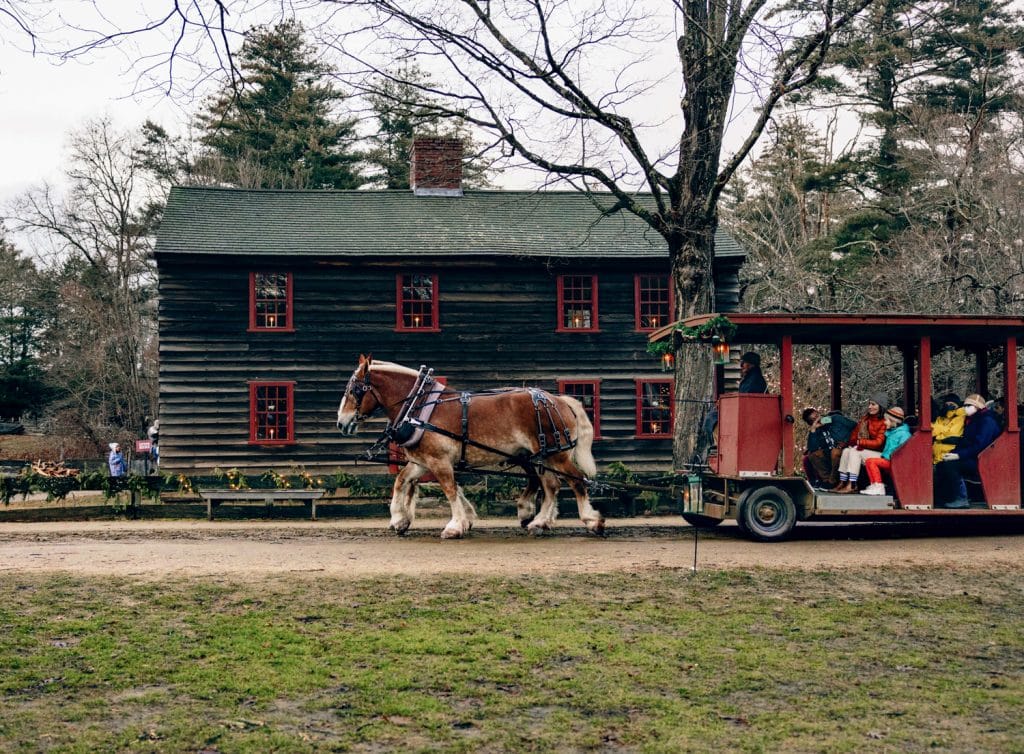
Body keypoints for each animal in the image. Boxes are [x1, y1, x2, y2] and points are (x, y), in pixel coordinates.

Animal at [335, 356, 606, 540]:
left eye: (354, 390)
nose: (341, 422)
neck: (419, 405)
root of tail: (559, 400)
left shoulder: (440, 461)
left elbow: (450, 489)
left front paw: (455, 525)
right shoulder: (422, 461)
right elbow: (402, 481)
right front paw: (399, 519)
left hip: (556, 455)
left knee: (576, 481)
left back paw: (591, 521)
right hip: (544, 456)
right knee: (551, 485)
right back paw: (539, 522)